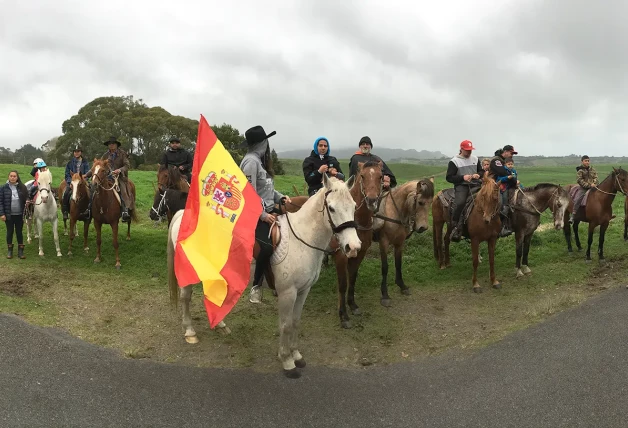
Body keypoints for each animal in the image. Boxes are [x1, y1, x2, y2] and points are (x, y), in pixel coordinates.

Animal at [167, 116, 364, 378]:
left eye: (353, 205)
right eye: (331, 208)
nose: (353, 246)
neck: (303, 240)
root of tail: (183, 214)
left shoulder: (303, 291)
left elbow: (296, 322)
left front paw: (296, 355)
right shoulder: (288, 292)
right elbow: (285, 324)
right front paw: (287, 361)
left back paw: (220, 325)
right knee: (186, 296)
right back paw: (190, 332)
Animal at [328, 160, 382, 328]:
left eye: (380, 176)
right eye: (363, 176)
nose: (371, 200)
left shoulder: (360, 253)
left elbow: (352, 277)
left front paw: (352, 305)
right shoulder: (341, 256)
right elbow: (343, 284)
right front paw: (343, 315)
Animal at [372, 178, 432, 308]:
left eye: (430, 203)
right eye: (420, 202)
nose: (423, 228)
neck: (393, 211)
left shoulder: (399, 243)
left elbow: (398, 264)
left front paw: (402, 286)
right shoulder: (383, 243)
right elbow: (385, 267)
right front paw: (385, 294)